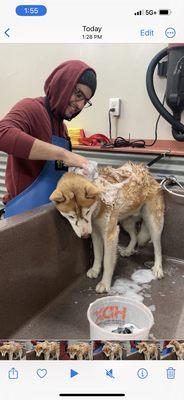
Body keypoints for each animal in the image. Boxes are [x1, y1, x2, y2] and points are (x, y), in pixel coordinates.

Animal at [49, 162, 165, 294]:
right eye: (71, 216)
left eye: (87, 211)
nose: (85, 235)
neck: (97, 208)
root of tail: (149, 175)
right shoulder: (95, 233)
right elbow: (98, 254)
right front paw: (95, 270)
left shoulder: (110, 235)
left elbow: (107, 261)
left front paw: (104, 283)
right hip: (125, 222)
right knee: (135, 235)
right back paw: (129, 250)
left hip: (153, 224)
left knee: (158, 247)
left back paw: (158, 268)